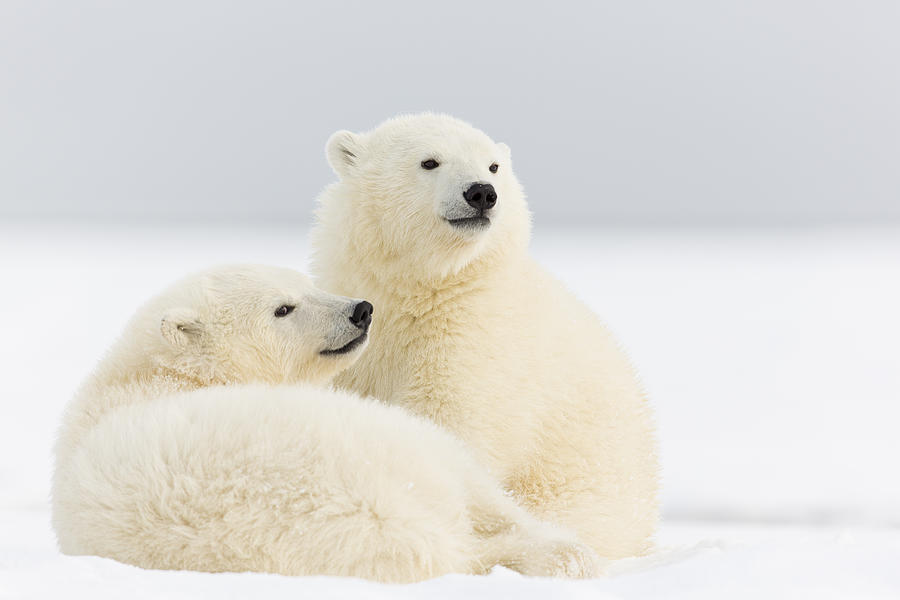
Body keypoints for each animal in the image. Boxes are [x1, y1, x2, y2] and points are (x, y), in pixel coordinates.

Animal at [47, 264, 596, 584]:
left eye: (308, 284)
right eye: (283, 308)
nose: (361, 310)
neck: (159, 376)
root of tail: (381, 507)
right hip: (385, 448)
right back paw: (566, 554)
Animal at [312, 115, 656, 560]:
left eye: (493, 166)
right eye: (429, 161)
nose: (481, 193)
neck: (423, 292)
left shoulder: (473, 340)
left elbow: (450, 426)